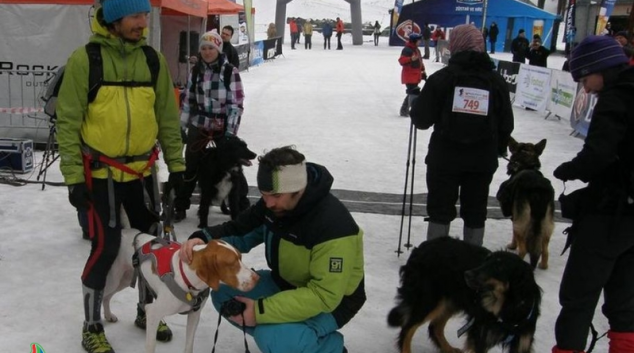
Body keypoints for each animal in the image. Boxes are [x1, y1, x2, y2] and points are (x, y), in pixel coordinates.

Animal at [102, 228, 258, 352]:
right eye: (232, 264)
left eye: (241, 257)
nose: (257, 278)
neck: (188, 279)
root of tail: (126, 231)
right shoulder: (153, 313)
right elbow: (151, 346)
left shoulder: (194, 315)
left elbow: (189, 346)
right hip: (115, 280)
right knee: (102, 295)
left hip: (125, 279)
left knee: (107, 297)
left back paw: (109, 315)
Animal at [386, 236, 540, 352]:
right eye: (485, 262)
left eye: (498, 267)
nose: (467, 274)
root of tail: (419, 248)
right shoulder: (480, 335)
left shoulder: (523, 341)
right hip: (429, 300)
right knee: (407, 328)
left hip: (451, 301)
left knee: (434, 327)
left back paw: (448, 349)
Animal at [494, 138, 552, 270]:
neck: (526, 165)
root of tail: (538, 190)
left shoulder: (515, 216)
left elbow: (514, 234)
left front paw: (512, 245)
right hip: (547, 224)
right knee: (545, 250)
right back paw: (543, 265)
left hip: (521, 220)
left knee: (523, 249)